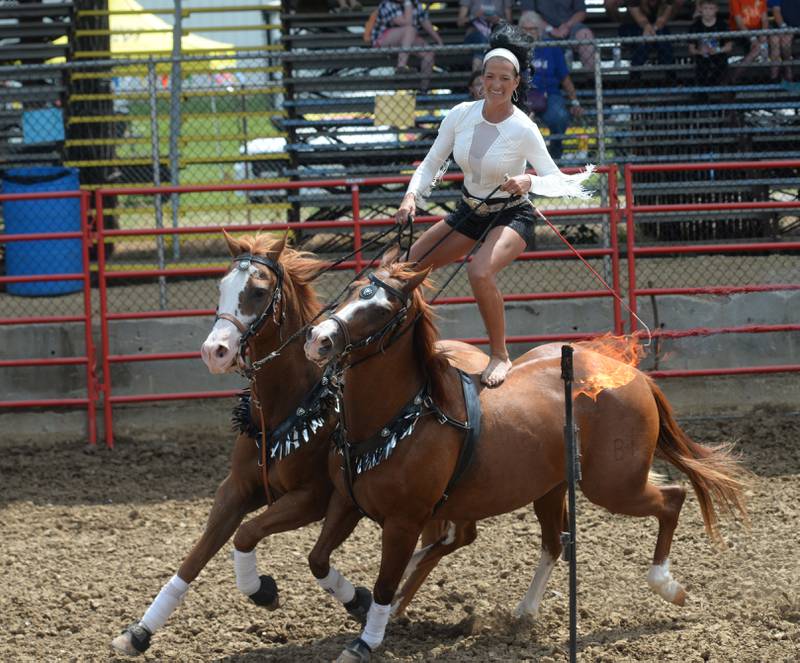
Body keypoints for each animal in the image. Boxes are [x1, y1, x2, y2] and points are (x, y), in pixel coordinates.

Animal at [304, 258, 752, 663]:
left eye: (381, 308)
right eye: (352, 288)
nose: (318, 339)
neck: (401, 418)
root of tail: (633, 375)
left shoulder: (404, 521)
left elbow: (385, 582)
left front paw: (365, 640)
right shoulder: (345, 502)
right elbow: (318, 561)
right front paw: (356, 600)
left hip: (613, 485)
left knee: (673, 498)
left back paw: (667, 585)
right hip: (552, 488)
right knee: (554, 543)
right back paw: (525, 611)